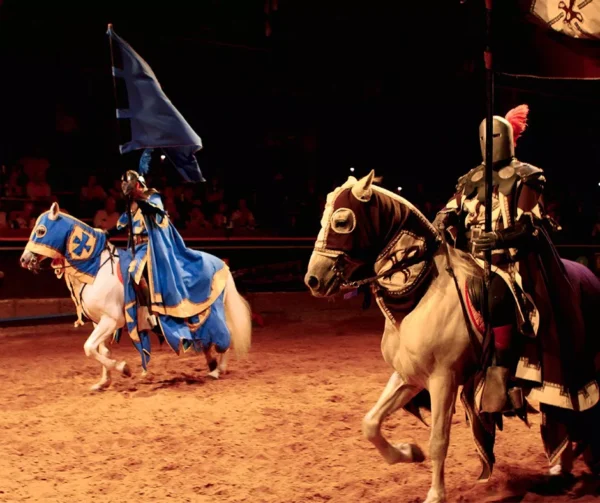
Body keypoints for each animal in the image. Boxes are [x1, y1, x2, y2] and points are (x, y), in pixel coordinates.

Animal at [20, 203, 251, 392]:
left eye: (41, 231)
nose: (24, 260)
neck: (94, 270)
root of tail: (221, 263)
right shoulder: (99, 321)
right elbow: (101, 350)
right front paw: (103, 382)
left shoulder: (112, 320)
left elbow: (89, 348)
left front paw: (124, 368)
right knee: (208, 341)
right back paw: (212, 365)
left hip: (211, 313)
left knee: (225, 336)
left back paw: (218, 370)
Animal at [308, 172, 596, 503]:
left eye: (342, 221)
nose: (313, 279)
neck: (421, 298)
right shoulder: (409, 377)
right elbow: (370, 423)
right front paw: (408, 452)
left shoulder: (442, 379)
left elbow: (438, 440)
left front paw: (435, 494)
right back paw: (562, 467)